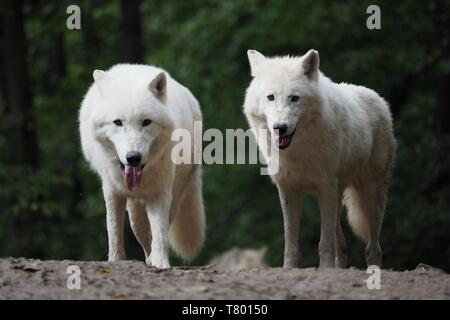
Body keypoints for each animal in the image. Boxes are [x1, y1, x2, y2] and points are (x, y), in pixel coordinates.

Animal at [79, 63, 206, 268]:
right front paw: (116, 261)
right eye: (118, 122)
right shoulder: (112, 191)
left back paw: (151, 259)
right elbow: (114, 231)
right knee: (141, 232)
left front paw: (161, 262)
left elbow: (160, 233)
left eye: (146, 122)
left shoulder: (161, 193)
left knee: (158, 229)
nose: (133, 158)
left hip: (176, 192)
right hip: (134, 209)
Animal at [244, 49, 396, 268]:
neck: (298, 151)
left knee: (372, 248)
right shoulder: (288, 190)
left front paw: (324, 268)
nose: (280, 127)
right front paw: (290, 268)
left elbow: (324, 243)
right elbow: (291, 242)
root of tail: (379, 99)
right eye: (270, 97)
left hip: (370, 195)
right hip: (338, 197)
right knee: (341, 245)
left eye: (294, 98)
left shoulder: (325, 187)